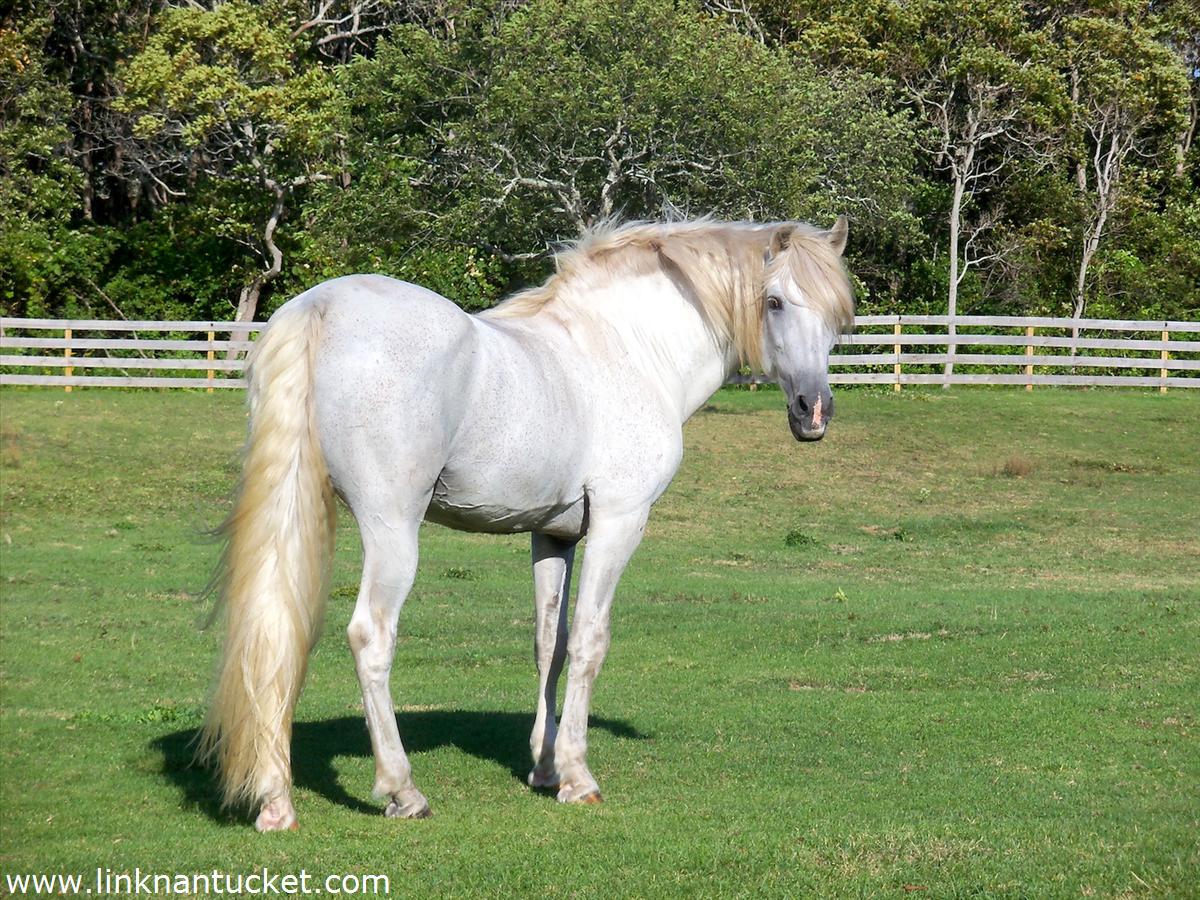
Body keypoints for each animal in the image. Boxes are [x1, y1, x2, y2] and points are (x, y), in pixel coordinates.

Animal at [198, 217, 854, 831]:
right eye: (775, 302)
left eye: (837, 316)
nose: (815, 413)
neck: (628, 349)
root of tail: (320, 308)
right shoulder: (619, 523)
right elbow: (589, 641)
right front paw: (578, 776)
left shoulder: (553, 535)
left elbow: (549, 644)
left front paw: (543, 766)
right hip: (392, 530)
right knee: (370, 637)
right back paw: (402, 791)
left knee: (270, 630)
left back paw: (276, 801)